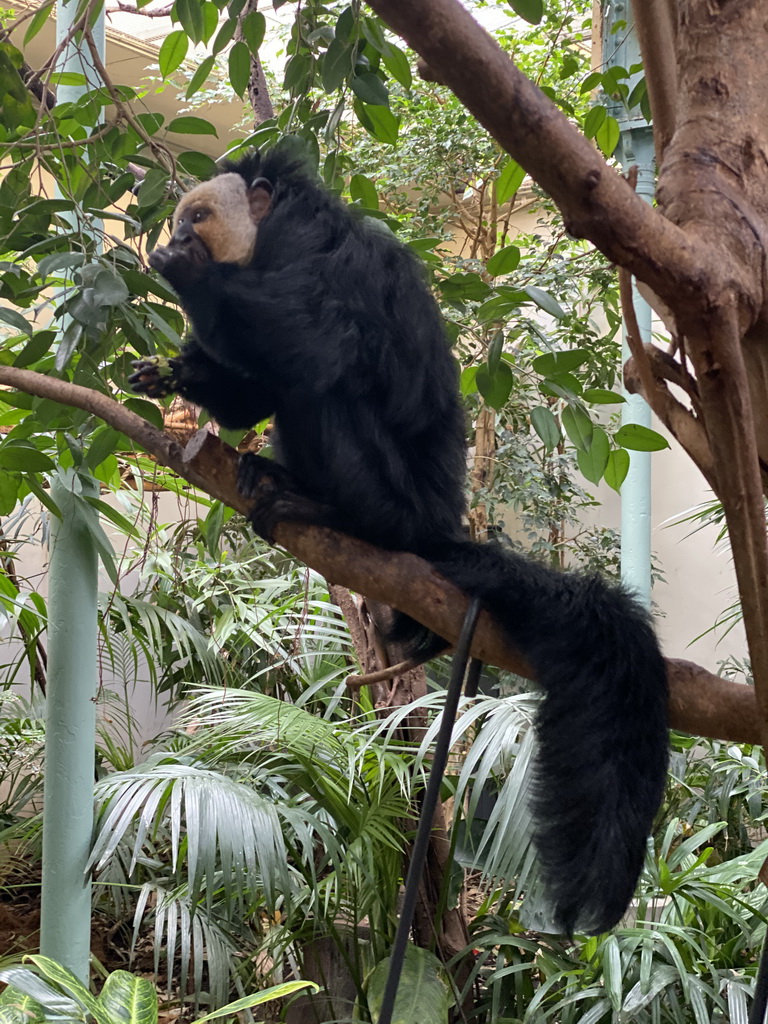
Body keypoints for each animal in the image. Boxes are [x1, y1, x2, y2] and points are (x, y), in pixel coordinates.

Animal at [132, 144, 667, 937]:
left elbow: (316, 349)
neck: (272, 241)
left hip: (393, 499)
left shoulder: (324, 257)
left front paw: (186, 274)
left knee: (327, 389)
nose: (177, 235)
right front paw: (171, 371)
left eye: (196, 217)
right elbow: (255, 394)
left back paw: (331, 510)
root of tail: (437, 527)